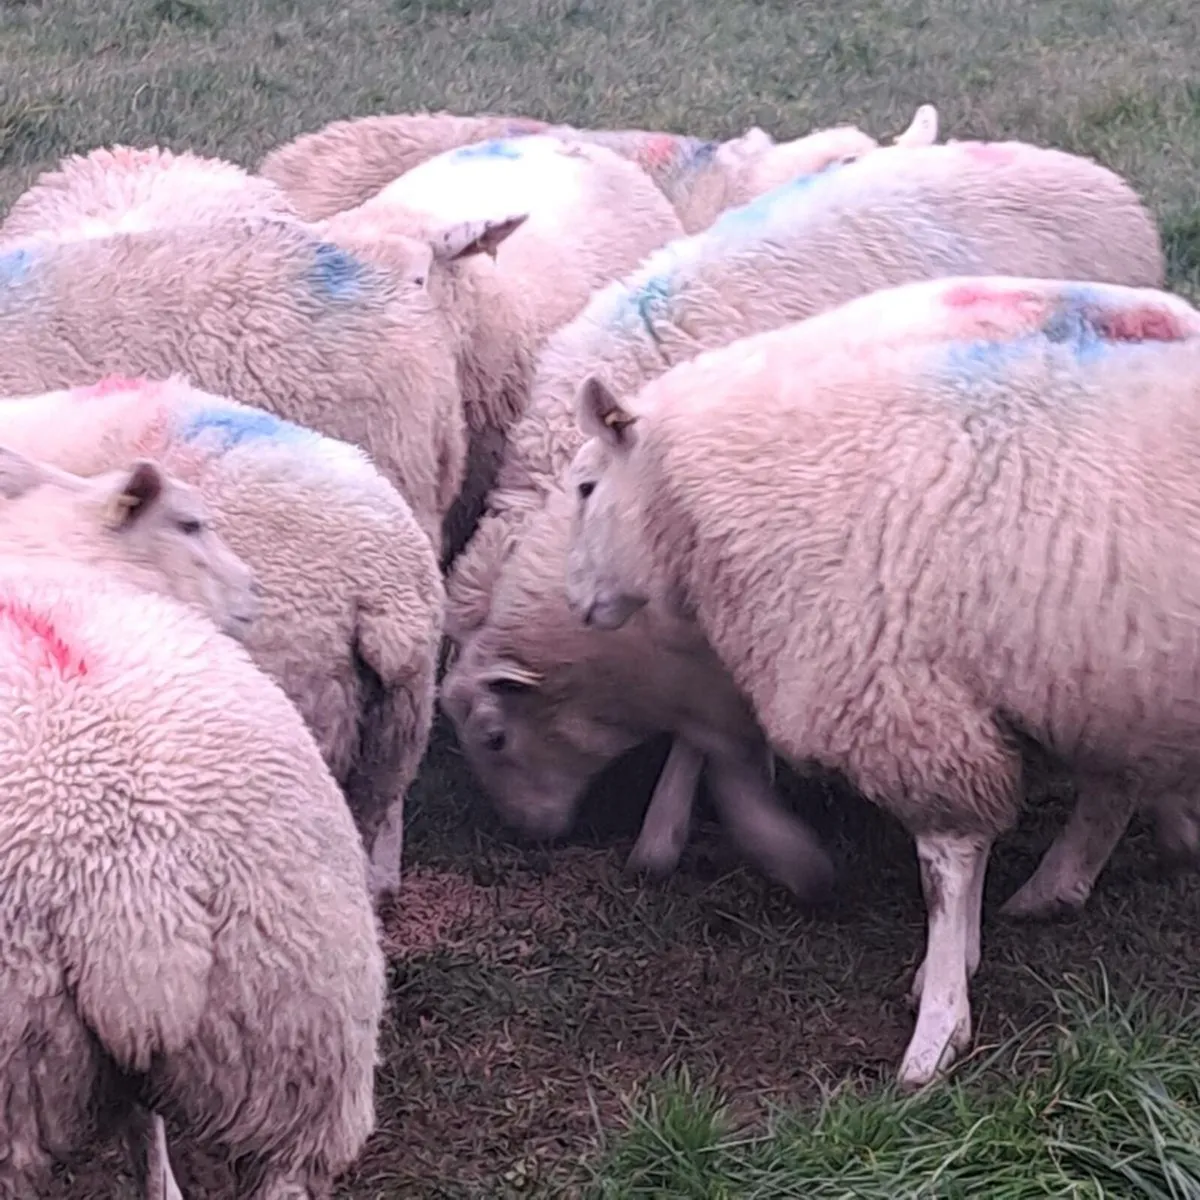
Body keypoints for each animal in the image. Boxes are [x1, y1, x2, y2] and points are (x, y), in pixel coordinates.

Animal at [561, 273, 1200, 1090]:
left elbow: (944, 871)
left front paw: (938, 1031)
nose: (576, 601)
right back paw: (1068, 883)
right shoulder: (949, 691)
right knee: (1116, 780)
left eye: (585, 487)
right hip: (1107, 675)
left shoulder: (904, 696)